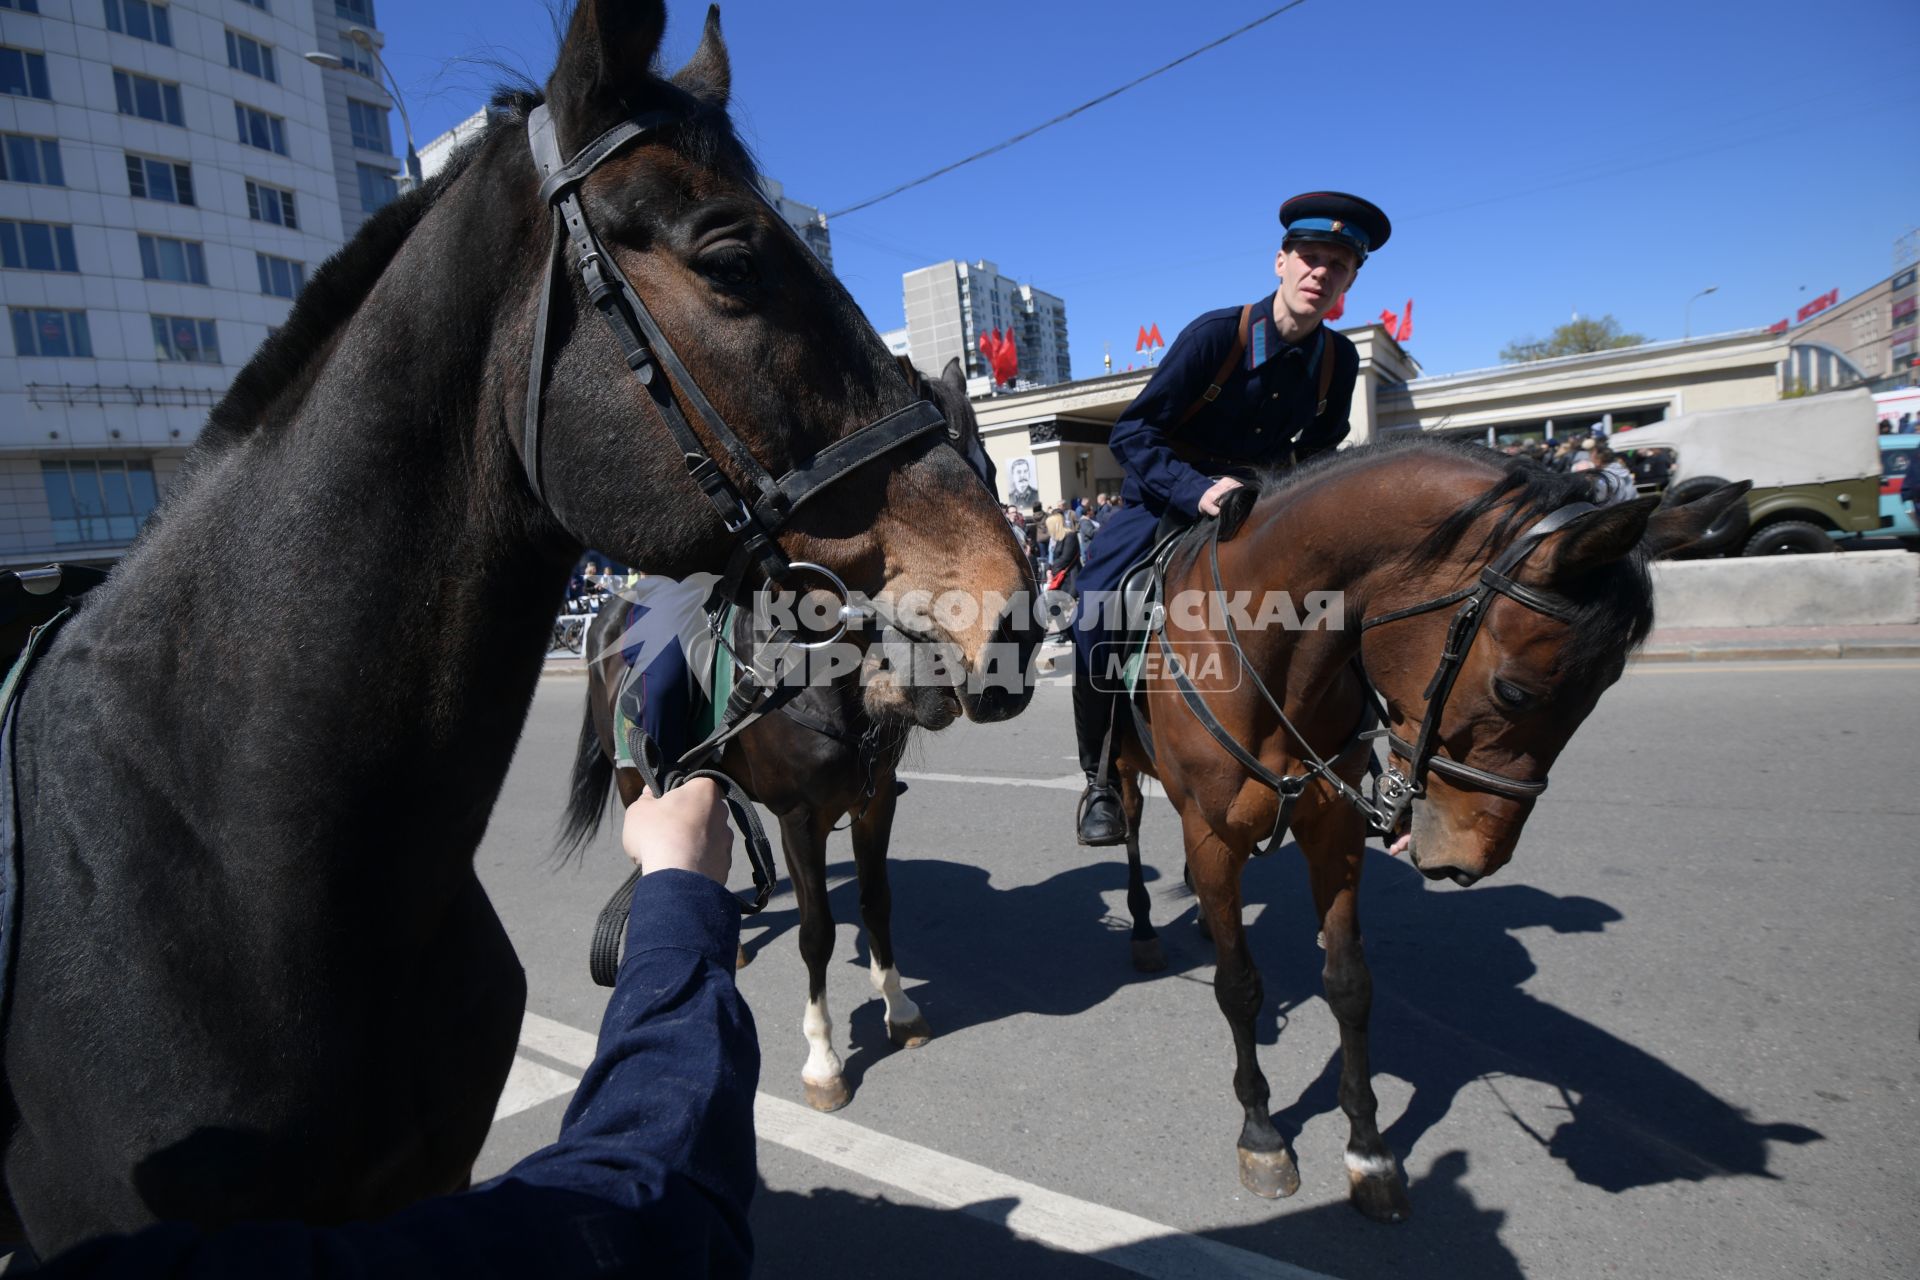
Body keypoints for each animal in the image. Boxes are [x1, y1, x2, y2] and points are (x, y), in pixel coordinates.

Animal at [556, 353, 1013, 1113]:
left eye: (989, 471)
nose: (941, 664)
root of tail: (607, 613)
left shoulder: (873, 803)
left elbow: (878, 903)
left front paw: (898, 1009)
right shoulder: (800, 819)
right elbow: (817, 932)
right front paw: (824, 1058)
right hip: (632, 778)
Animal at [1098, 441, 1743, 1220]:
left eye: (1603, 693)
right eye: (1514, 691)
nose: (1472, 858)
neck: (1264, 658)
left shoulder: (1334, 831)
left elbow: (1349, 984)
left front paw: (1369, 1150)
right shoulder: (1214, 834)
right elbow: (1239, 986)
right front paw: (1262, 1133)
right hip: (1127, 773)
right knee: (1133, 838)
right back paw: (1141, 925)